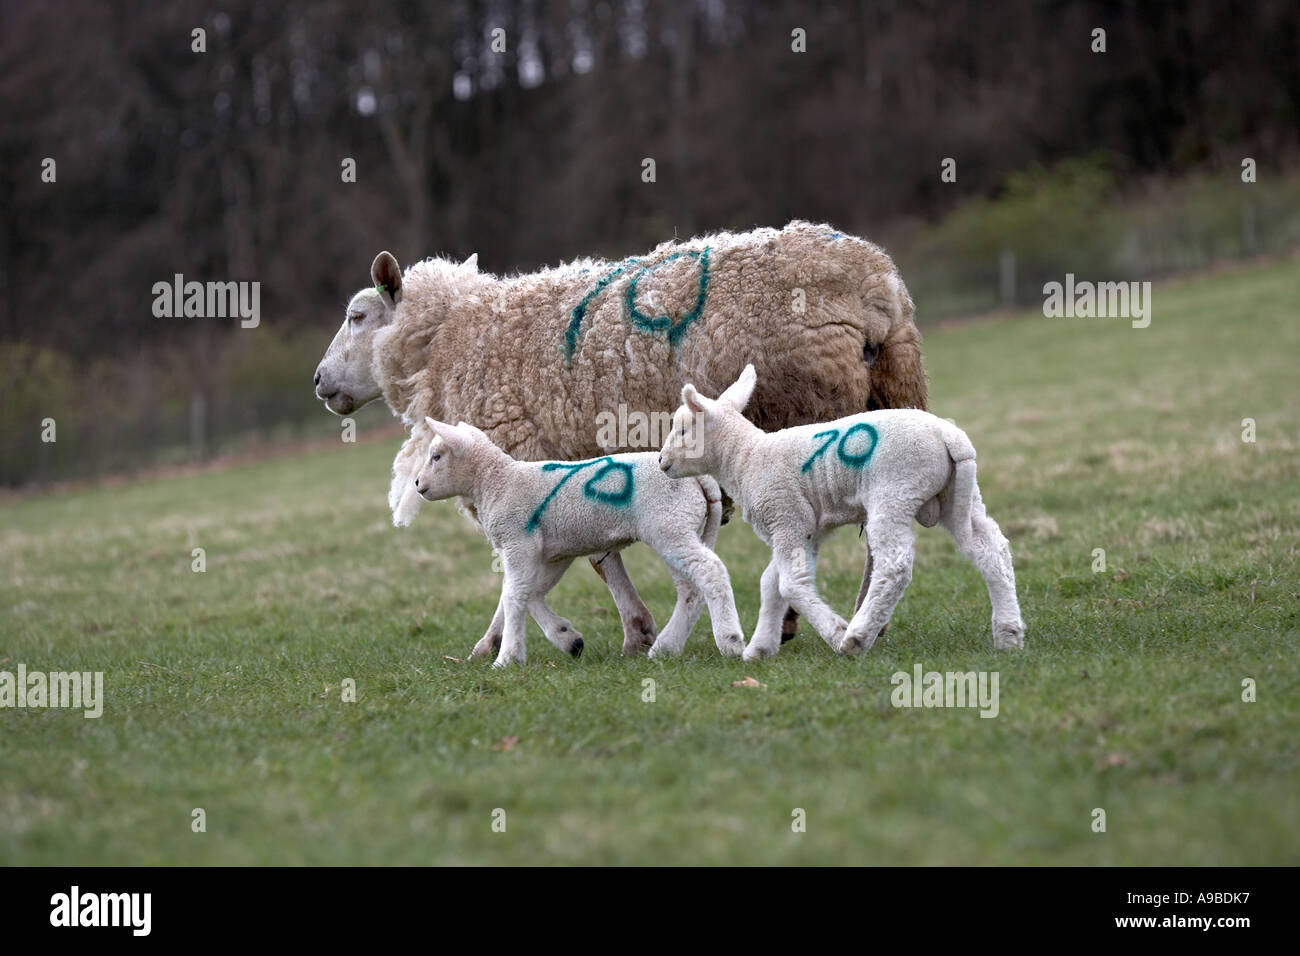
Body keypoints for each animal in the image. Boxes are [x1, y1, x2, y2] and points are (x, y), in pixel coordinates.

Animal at [412, 417, 746, 667]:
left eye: (436, 456)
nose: (416, 484)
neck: (498, 481)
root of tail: (700, 479)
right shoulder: (554, 553)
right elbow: (529, 593)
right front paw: (567, 638)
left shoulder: (519, 543)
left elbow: (514, 596)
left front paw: (507, 658)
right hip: (677, 528)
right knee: (691, 589)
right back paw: (666, 647)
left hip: (669, 527)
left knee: (710, 571)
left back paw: (729, 641)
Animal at [658, 365, 1026, 660]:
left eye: (683, 430)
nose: (661, 462)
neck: (746, 458)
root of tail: (950, 435)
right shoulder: (805, 528)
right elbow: (770, 583)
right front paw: (759, 649)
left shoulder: (786, 517)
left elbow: (791, 584)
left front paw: (835, 632)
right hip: (958, 494)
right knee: (989, 548)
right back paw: (1008, 633)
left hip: (894, 493)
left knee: (894, 566)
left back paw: (857, 637)